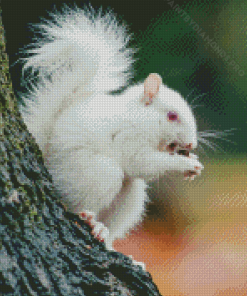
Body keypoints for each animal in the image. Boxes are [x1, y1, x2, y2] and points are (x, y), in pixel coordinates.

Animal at [20, 5, 203, 251]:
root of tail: (47, 158)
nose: (192, 143)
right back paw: (89, 219)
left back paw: (106, 235)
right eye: (172, 116)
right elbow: (141, 163)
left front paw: (193, 163)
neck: (139, 118)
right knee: (74, 203)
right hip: (94, 173)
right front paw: (186, 164)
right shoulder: (128, 137)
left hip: (130, 196)